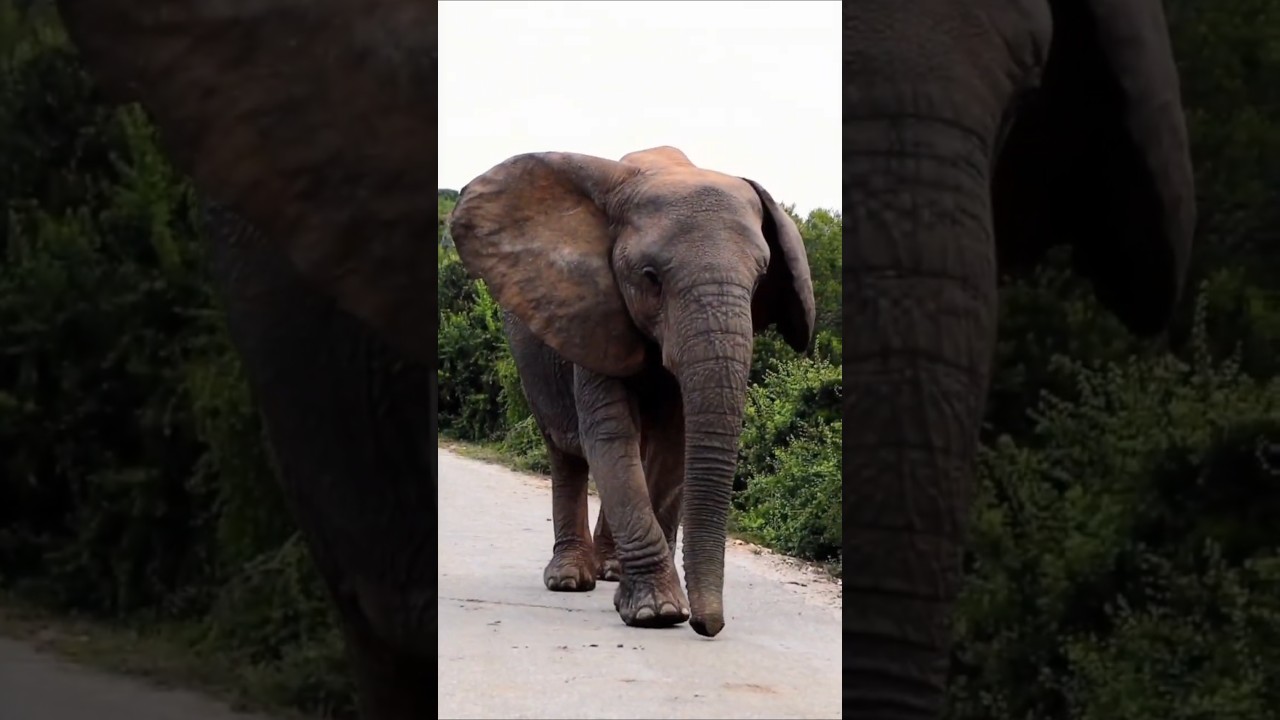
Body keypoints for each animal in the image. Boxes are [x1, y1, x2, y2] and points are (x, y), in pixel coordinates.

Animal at [448, 146, 816, 635]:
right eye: (650, 276)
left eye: (759, 280)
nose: (708, 626)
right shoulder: (592, 314)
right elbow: (610, 437)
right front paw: (658, 613)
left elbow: (671, 447)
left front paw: (651, 602)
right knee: (567, 453)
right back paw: (570, 579)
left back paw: (611, 571)